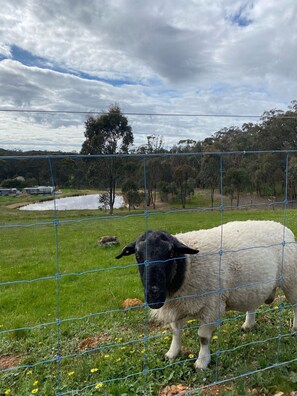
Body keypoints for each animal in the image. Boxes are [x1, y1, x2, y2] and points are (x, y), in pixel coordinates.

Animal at [115, 221, 296, 370]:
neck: (186, 267)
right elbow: (176, 331)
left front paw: (201, 362)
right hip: (252, 285)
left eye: (171, 253)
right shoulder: (178, 306)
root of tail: (282, 227)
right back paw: (248, 324)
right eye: (138, 255)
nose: (154, 297)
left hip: (290, 280)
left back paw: (294, 328)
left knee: (295, 306)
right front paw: (172, 354)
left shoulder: (212, 306)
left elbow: (203, 337)